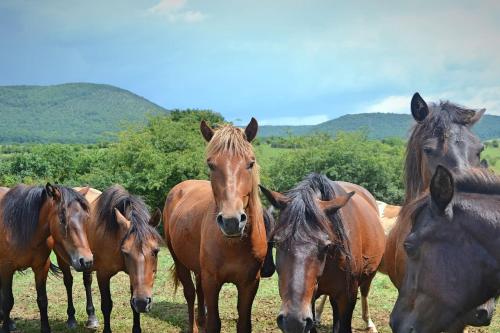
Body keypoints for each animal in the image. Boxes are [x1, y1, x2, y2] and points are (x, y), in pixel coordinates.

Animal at [0, 183, 93, 330]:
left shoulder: (41, 267)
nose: (86, 261)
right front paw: (5, 327)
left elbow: (42, 300)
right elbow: (7, 301)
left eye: (86, 218)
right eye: (62, 219)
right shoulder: (6, 268)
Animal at [55, 184, 161, 332]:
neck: (115, 233)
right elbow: (106, 305)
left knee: (87, 282)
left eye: (155, 251)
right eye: (125, 252)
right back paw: (71, 318)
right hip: (63, 259)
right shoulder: (103, 275)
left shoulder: (133, 277)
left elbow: (133, 305)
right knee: (68, 282)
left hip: (86, 263)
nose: (142, 302)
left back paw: (91, 317)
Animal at [164, 118, 268, 330]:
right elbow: (214, 323)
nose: (231, 221)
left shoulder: (250, 283)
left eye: (250, 163)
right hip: (179, 260)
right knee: (190, 293)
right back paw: (194, 327)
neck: (233, 244)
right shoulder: (212, 281)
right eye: (211, 165)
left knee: (198, 290)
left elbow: (244, 324)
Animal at [262, 172, 386, 330]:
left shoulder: (348, 298)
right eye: (277, 243)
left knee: (364, 293)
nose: (293, 321)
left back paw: (369, 323)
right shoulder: (311, 300)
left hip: (368, 276)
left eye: (326, 246)